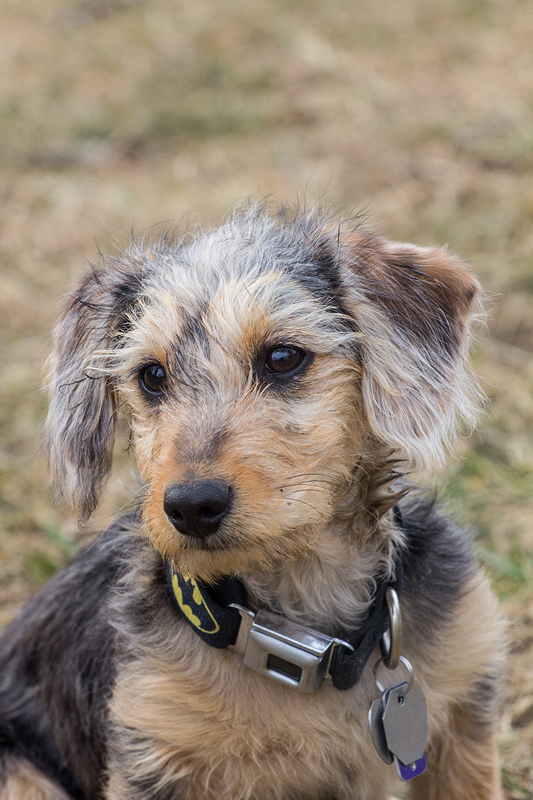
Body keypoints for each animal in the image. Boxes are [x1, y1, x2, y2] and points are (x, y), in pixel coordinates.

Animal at [0, 206, 504, 800]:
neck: (300, 623)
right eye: (151, 375)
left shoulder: (466, 703)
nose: (191, 506)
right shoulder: (151, 751)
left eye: (283, 358)